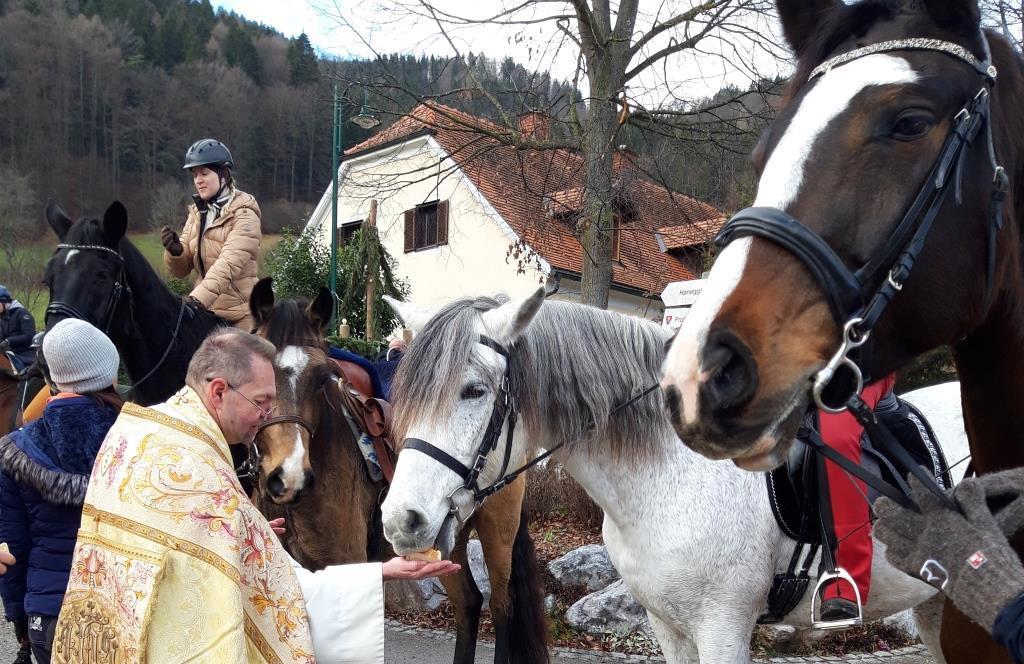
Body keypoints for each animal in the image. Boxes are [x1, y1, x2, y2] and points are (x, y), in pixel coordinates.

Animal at [380, 290, 970, 663]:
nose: (401, 520)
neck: (676, 472)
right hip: (937, 601)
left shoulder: (723, 628)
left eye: (474, 390)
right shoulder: (668, 626)